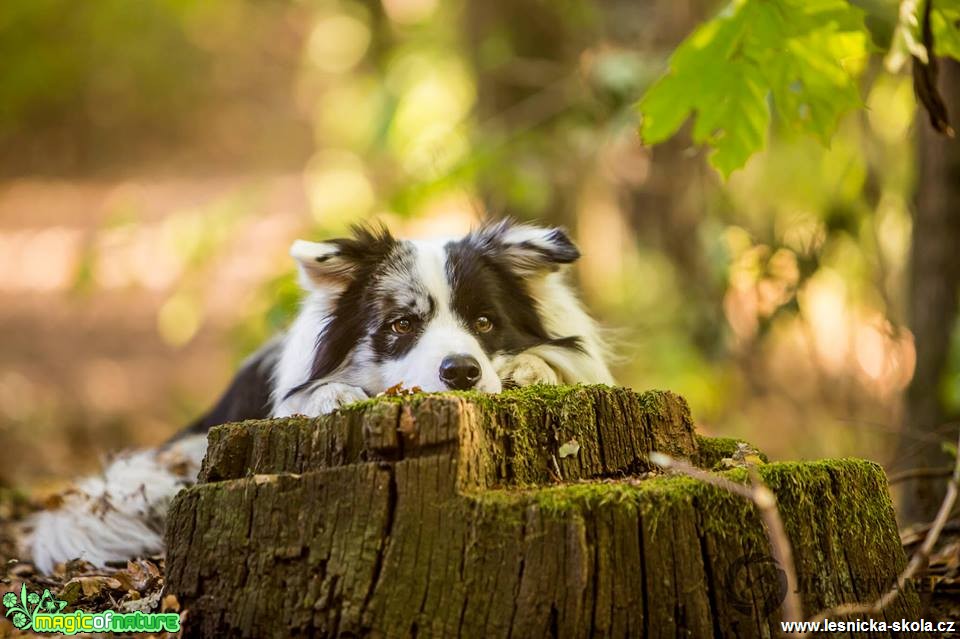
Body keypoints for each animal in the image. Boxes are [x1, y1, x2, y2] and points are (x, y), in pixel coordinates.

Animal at [22, 221, 612, 576]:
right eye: (401, 325)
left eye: (485, 322)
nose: (462, 372)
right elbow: (313, 395)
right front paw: (333, 397)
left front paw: (529, 368)